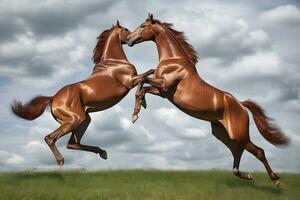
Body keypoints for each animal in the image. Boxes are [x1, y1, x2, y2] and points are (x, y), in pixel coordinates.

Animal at [10, 21, 154, 166]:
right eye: (126, 29)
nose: (131, 39)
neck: (115, 62)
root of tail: (53, 98)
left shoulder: (132, 81)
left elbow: (146, 78)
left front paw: (142, 103)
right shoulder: (130, 81)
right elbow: (148, 74)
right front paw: (137, 112)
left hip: (84, 120)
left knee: (72, 144)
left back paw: (102, 152)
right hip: (74, 120)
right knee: (50, 138)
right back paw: (61, 161)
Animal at [126, 14, 288, 188]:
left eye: (143, 26)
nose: (128, 39)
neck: (174, 60)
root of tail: (241, 104)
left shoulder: (164, 85)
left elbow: (142, 80)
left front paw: (136, 113)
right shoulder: (162, 92)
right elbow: (142, 84)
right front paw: (138, 109)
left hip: (240, 134)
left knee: (259, 151)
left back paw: (277, 180)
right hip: (222, 133)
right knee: (237, 152)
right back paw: (247, 175)